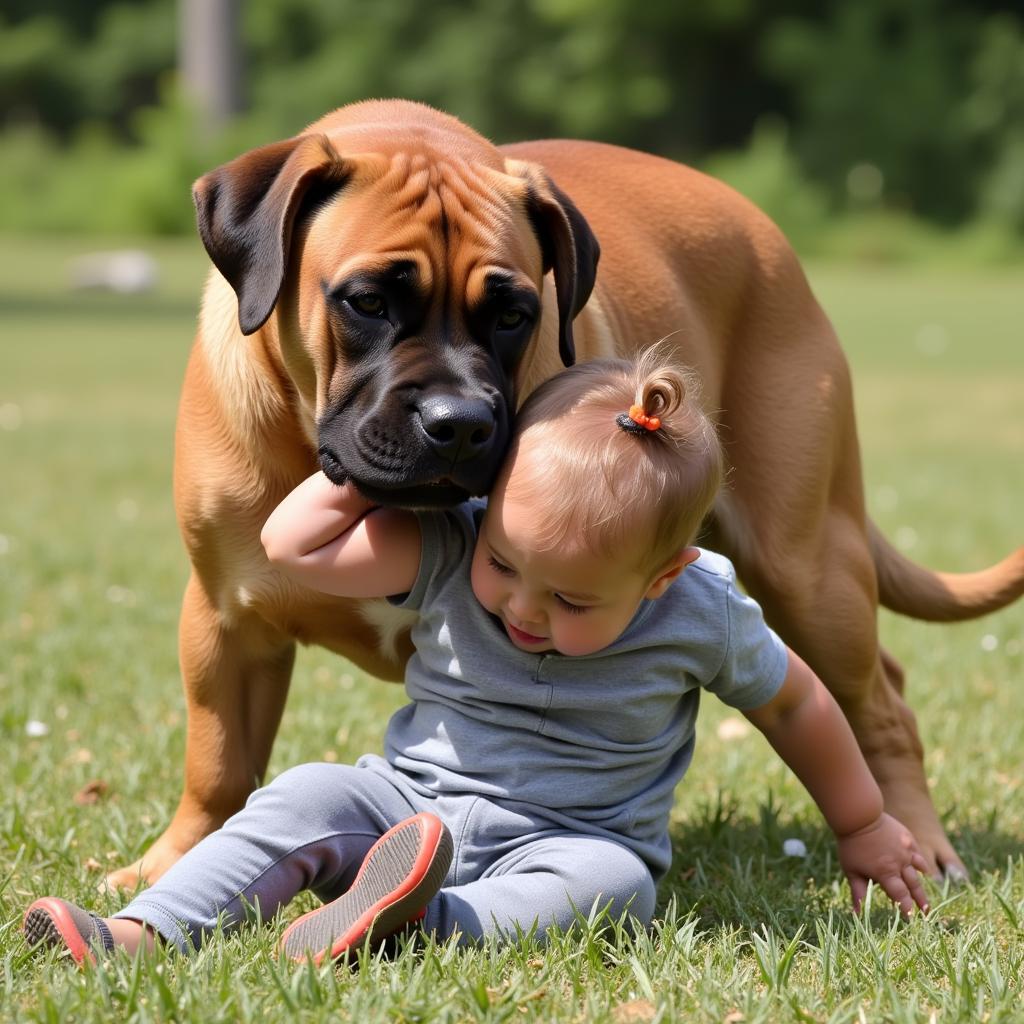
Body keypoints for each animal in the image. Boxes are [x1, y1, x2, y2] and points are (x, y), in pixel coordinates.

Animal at [105, 99, 1024, 892]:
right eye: (366, 302)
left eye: (514, 313)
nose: (460, 424)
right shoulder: (226, 618)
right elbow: (218, 765)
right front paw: (174, 862)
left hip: (807, 564)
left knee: (879, 707)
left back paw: (916, 844)